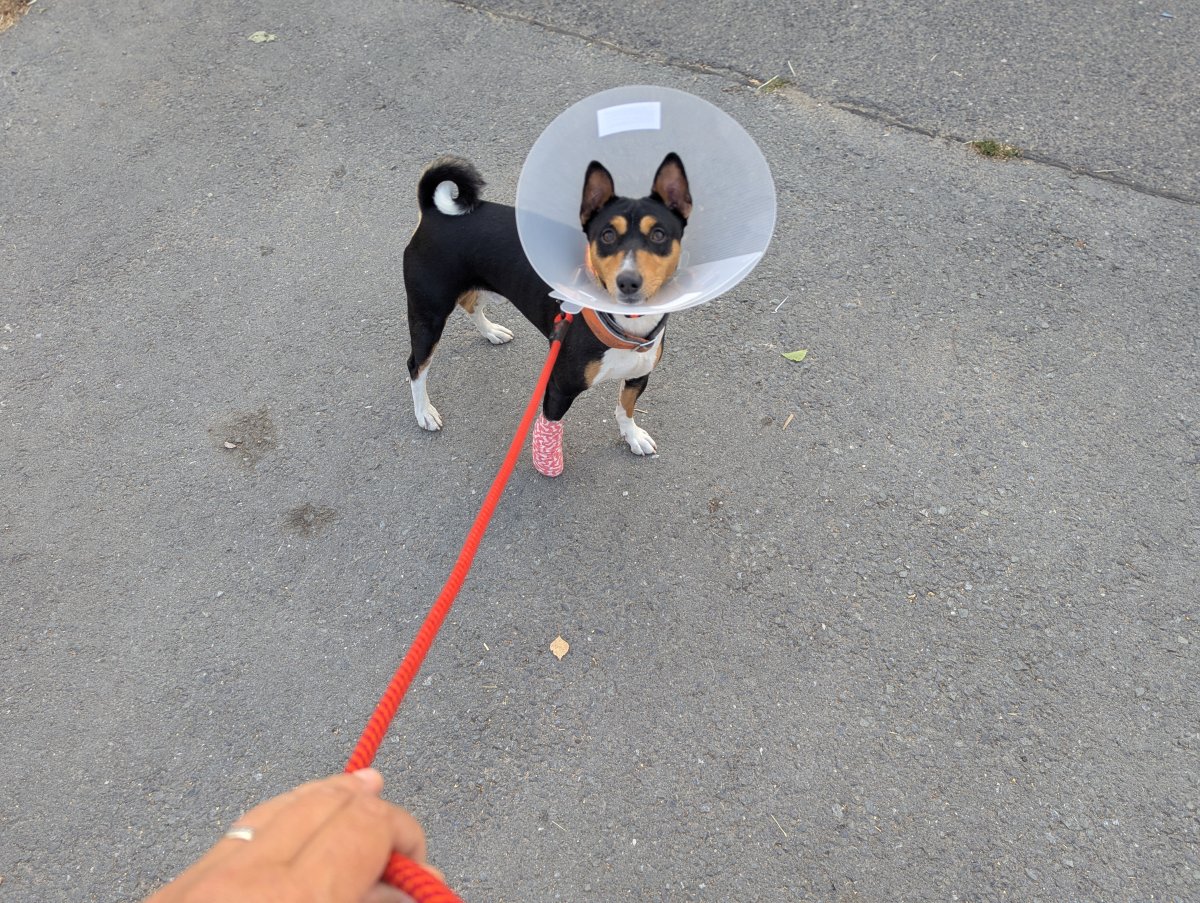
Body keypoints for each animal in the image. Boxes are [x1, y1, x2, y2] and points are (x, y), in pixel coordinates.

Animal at [402, 152, 692, 476]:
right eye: (606, 236)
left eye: (658, 235)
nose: (628, 281)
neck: (626, 328)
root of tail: (434, 213)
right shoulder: (558, 387)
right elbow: (550, 425)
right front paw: (547, 461)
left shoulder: (639, 375)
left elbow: (625, 408)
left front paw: (632, 436)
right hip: (429, 315)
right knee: (416, 366)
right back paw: (424, 412)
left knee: (471, 304)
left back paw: (492, 332)